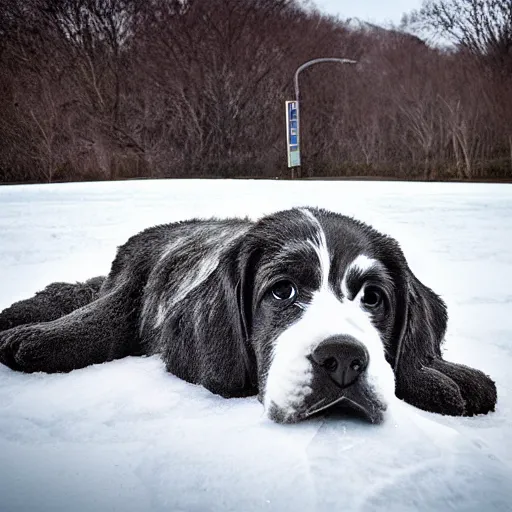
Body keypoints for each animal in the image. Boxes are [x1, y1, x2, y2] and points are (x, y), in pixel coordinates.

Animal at [0, 208, 496, 424]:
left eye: (372, 298)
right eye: (282, 291)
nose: (343, 359)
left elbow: (415, 356)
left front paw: (443, 374)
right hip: (136, 274)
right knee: (102, 310)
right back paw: (35, 333)